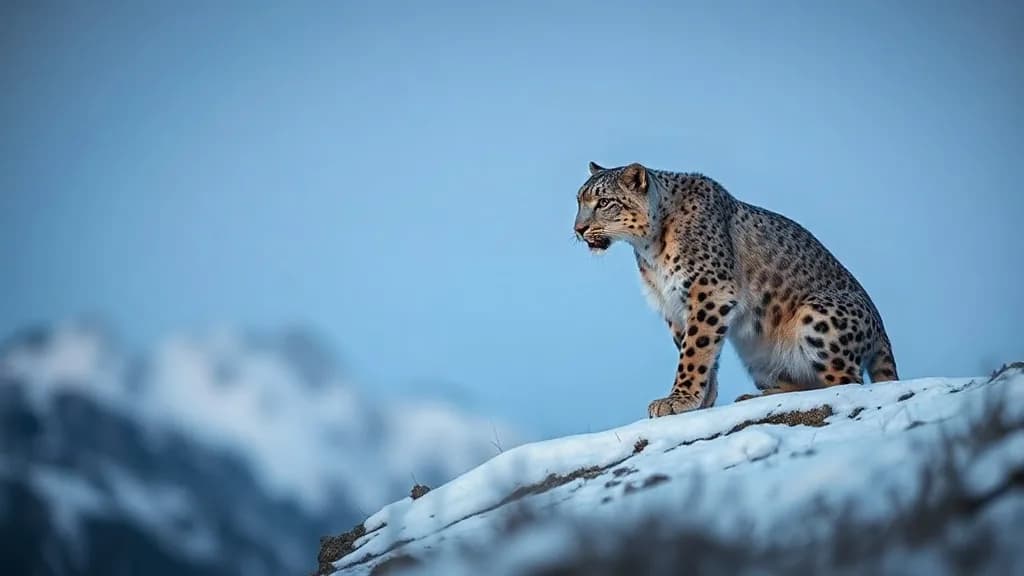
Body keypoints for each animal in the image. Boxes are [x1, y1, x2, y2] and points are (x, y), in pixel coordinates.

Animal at [573, 161, 899, 418]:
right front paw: (700, 401)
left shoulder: (709, 290)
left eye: (604, 202)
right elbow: (698, 350)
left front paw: (679, 399)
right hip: (758, 358)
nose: (578, 229)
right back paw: (757, 396)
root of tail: (881, 327)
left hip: (818, 315)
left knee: (847, 380)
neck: (648, 248)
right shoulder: (673, 305)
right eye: (579, 200)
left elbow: (695, 349)